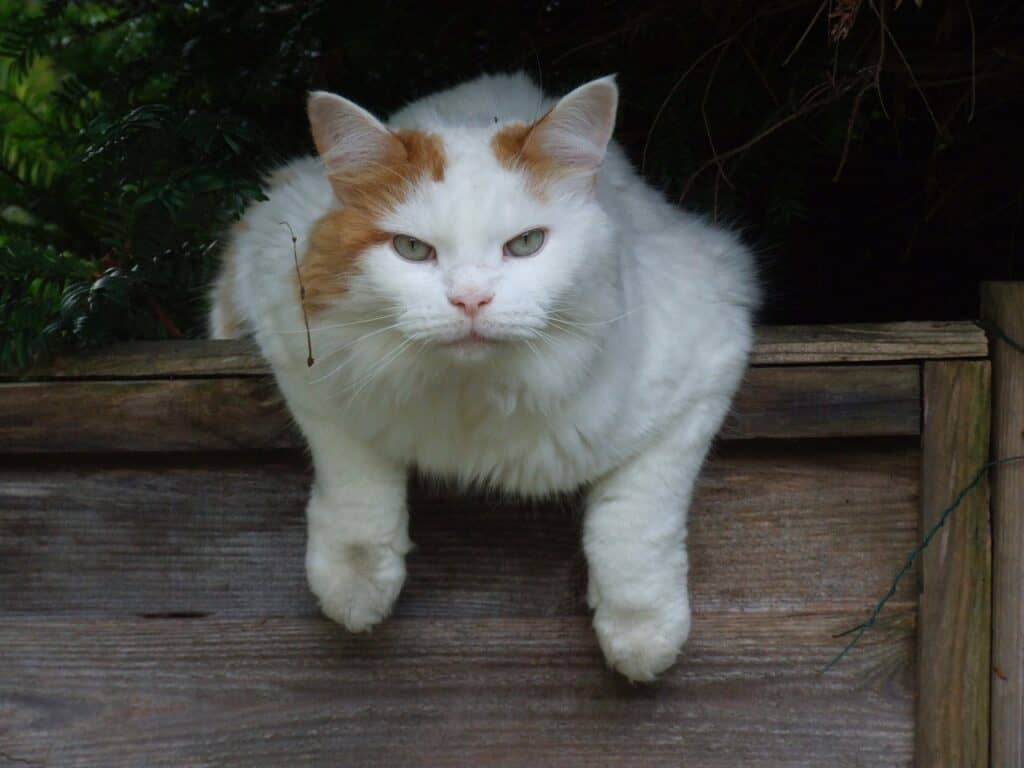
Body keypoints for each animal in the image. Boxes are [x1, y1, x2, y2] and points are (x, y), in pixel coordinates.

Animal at [207, 72, 757, 684]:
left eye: (526, 244)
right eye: (411, 249)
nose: (470, 300)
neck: (474, 401)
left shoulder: (709, 349)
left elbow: (636, 516)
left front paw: (640, 632)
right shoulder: (288, 327)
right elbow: (353, 475)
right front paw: (356, 583)